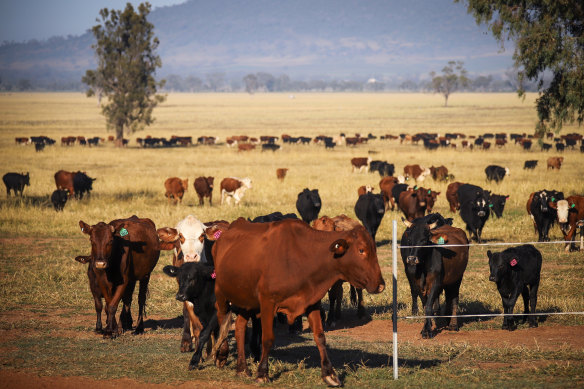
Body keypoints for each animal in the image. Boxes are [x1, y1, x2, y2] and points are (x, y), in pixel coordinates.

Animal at [212, 218, 386, 384]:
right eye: (361, 250)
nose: (381, 285)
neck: (303, 256)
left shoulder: (311, 302)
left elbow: (320, 337)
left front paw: (329, 373)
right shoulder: (268, 303)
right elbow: (267, 339)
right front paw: (262, 373)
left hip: (246, 300)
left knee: (240, 327)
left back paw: (242, 368)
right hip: (221, 293)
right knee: (221, 319)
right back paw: (222, 354)